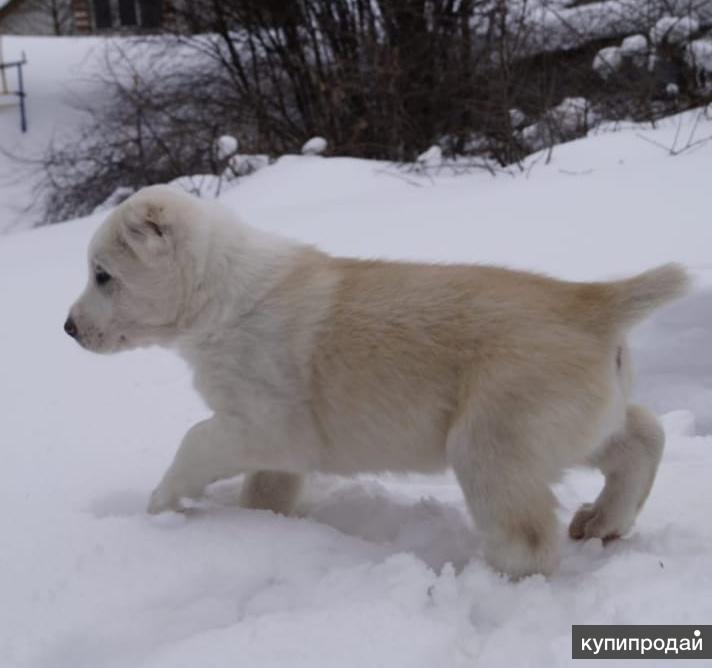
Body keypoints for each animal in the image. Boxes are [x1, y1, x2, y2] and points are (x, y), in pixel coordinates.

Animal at [67, 185, 688, 576]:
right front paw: (262, 527)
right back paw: (604, 521)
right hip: (575, 421)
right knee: (643, 434)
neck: (220, 292)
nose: (68, 328)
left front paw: (161, 505)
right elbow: (265, 491)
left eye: (103, 276)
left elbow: (195, 440)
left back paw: (490, 580)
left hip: (493, 438)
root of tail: (593, 302)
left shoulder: (265, 423)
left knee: (529, 540)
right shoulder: (277, 448)